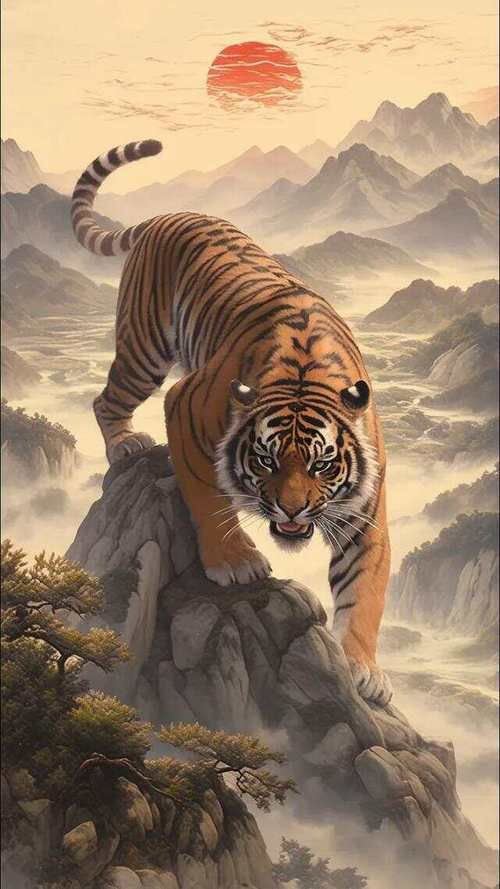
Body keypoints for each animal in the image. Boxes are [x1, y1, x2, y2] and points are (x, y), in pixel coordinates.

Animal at [71, 139, 392, 705]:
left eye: (324, 465)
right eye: (264, 460)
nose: (291, 511)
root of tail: (169, 213)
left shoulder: (365, 508)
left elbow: (365, 588)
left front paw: (362, 669)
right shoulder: (185, 405)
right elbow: (208, 498)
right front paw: (235, 562)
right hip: (145, 352)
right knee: (106, 401)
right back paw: (124, 445)